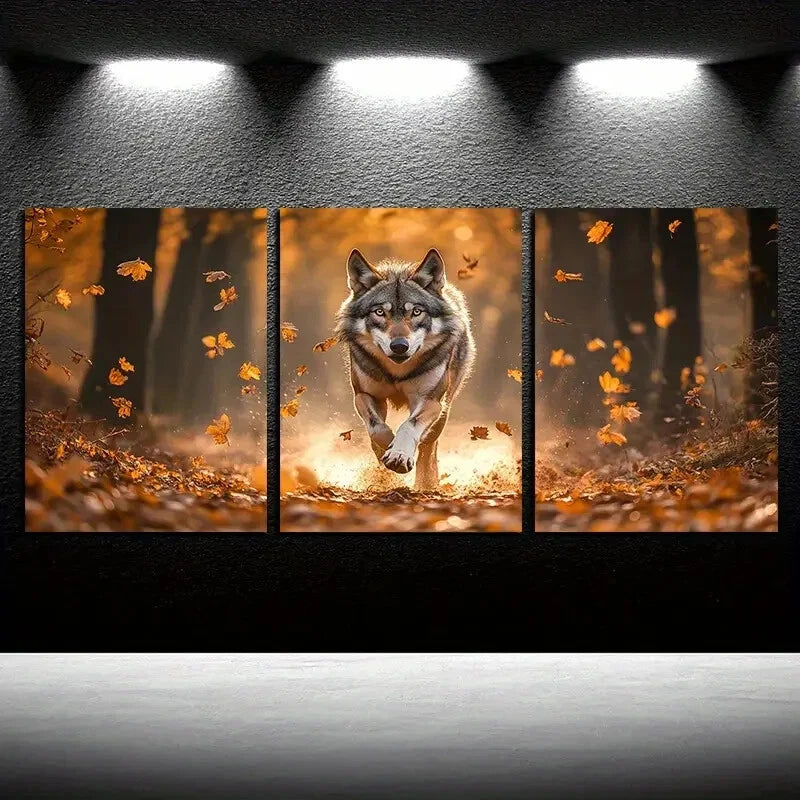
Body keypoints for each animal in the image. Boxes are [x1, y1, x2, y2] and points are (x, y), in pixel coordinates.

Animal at [335, 248, 475, 490]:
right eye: (379, 312)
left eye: (416, 312)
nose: (399, 346)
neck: (397, 373)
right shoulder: (364, 395)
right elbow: (377, 428)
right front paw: (386, 449)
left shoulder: (430, 400)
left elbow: (409, 426)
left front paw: (399, 454)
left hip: (444, 409)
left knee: (428, 449)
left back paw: (426, 484)